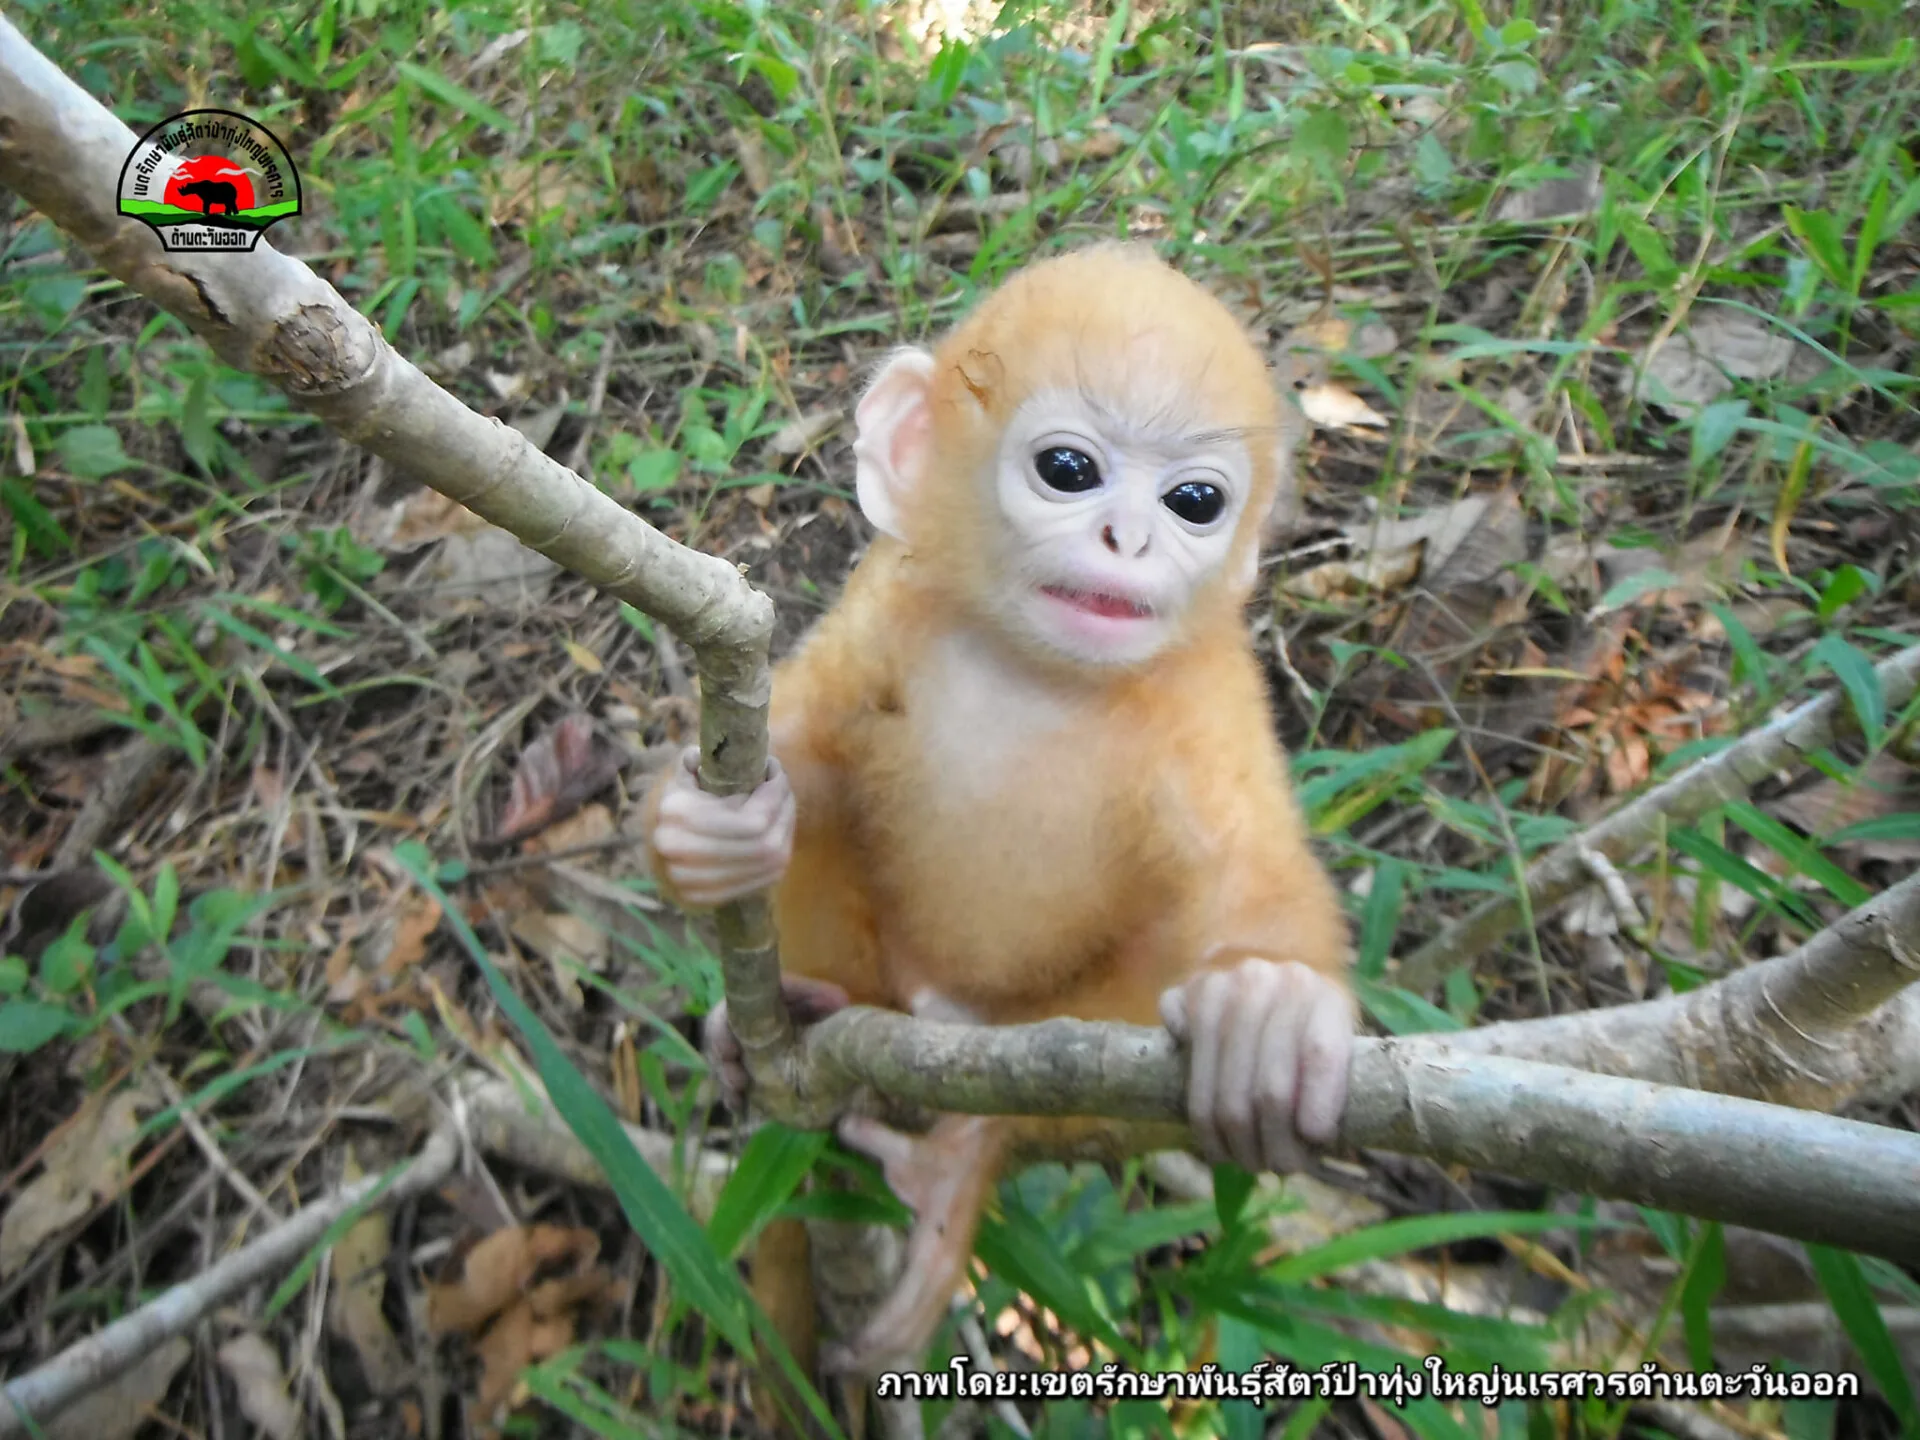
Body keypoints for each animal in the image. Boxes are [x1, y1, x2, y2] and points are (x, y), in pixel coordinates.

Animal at [645, 245, 1351, 1390]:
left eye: (1196, 500)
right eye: (1068, 470)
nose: (1130, 537)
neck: (1037, 675)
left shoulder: (1205, 699)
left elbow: (1246, 871)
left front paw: (1271, 1007)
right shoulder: (891, 601)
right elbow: (817, 754)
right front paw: (700, 832)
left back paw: (957, 1166)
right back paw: (782, 1015)